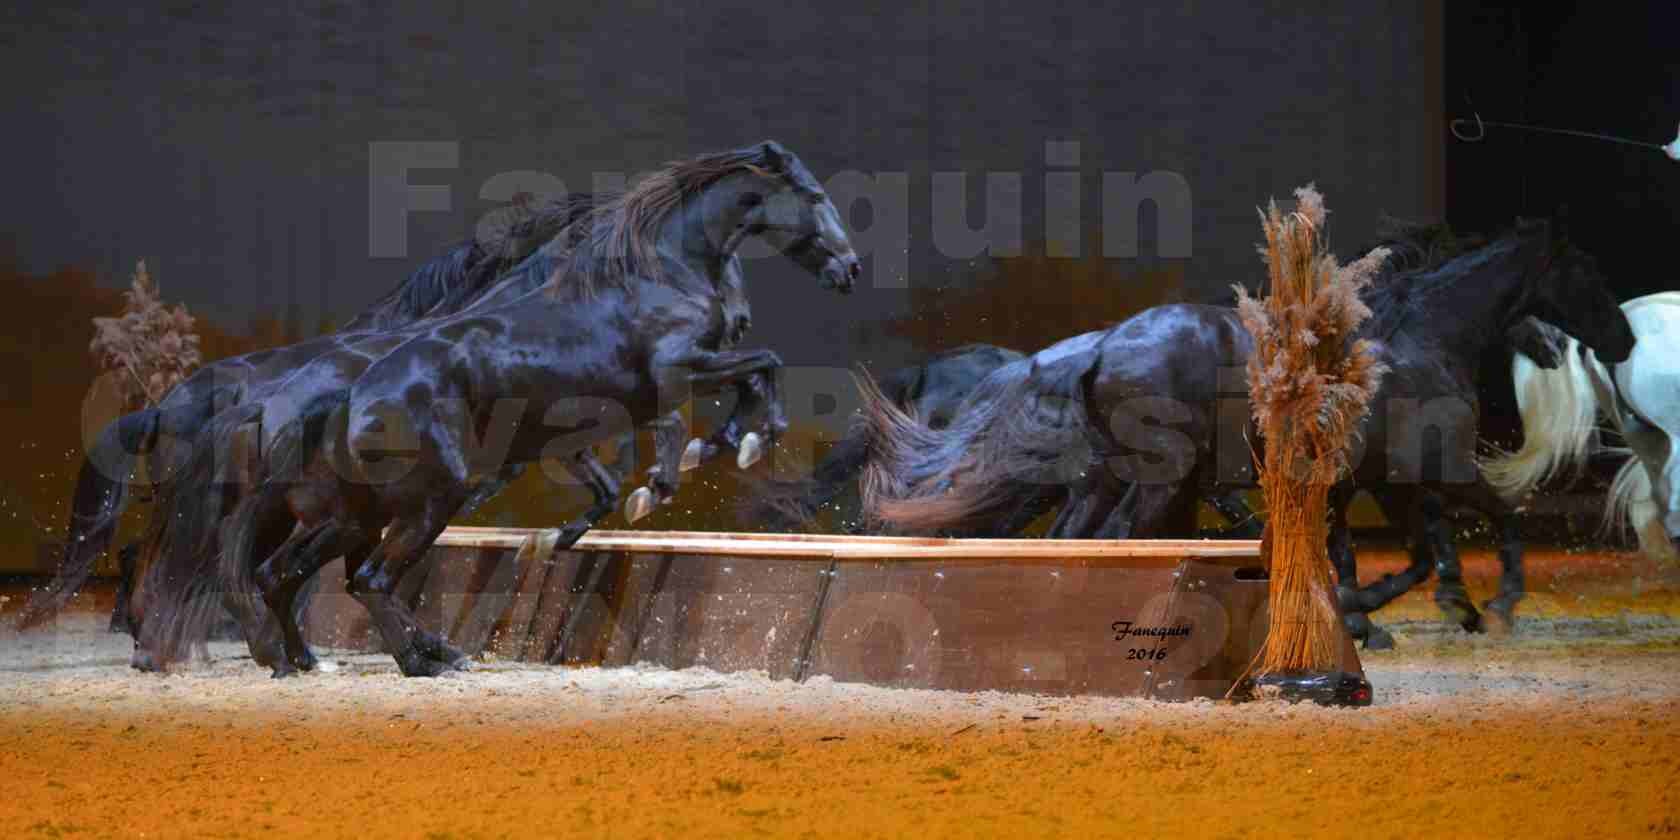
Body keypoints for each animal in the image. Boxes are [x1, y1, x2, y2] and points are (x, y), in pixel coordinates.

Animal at [147, 139, 866, 675]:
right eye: (817, 198)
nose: (851, 269)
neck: (650, 276)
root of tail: (336, 400)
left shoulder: (583, 429)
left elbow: (620, 479)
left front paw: (578, 525)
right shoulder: (672, 375)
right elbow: (756, 375)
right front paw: (717, 453)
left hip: (354, 514)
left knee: (286, 575)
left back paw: (307, 659)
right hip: (412, 504)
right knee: (358, 579)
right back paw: (419, 661)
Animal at [860, 218, 1632, 641]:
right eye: (1588, 270)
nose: (1620, 342)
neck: (1417, 339)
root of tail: (1103, 347)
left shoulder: (1381, 483)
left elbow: (1405, 553)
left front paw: (1413, 610)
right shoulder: (1434, 471)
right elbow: (1498, 516)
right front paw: (1490, 602)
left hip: (1109, 479)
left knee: (1072, 541)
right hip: (1154, 478)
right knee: (1114, 539)